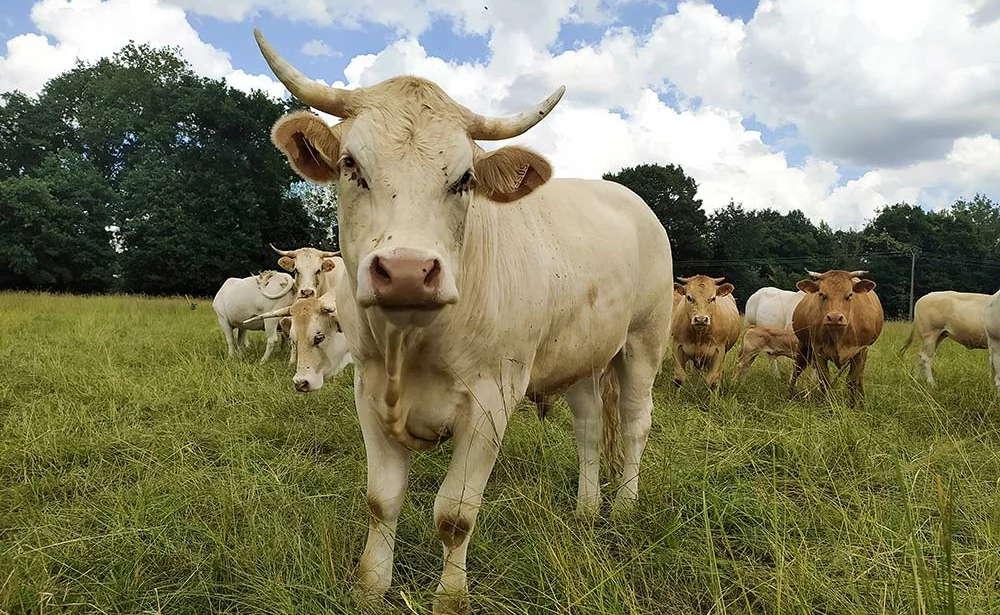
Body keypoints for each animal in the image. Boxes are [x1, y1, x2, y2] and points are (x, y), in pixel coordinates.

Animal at [256, 27, 680, 612]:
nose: (407, 272)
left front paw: (450, 597)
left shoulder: (491, 400)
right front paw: (371, 586)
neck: (410, 346)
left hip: (643, 342)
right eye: (350, 165)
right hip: (582, 355)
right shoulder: (367, 391)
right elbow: (381, 500)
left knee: (636, 422)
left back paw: (624, 507)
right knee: (591, 426)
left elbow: (454, 514)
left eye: (463, 180)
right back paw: (587, 509)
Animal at [788, 270, 884, 410]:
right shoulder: (817, 351)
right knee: (797, 368)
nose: (834, 318)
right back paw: (789, 395)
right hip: (803, 346)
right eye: (822, 294)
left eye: (849, 295)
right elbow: (824, 380)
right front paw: (827, 405)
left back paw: (863, 401)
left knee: (860, 376)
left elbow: (852, 380)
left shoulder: (861, 350)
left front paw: (852, 406)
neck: (838, 336)